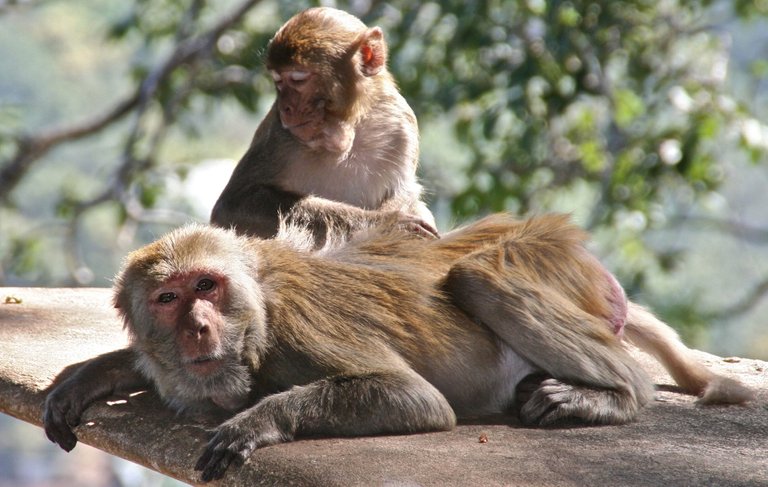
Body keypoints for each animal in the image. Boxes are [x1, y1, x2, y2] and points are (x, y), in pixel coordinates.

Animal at [40, 215, 752, 482]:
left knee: (477, 276)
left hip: (552, 269)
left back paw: (612, 395)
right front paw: (93, 375)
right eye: (168, 299)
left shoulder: (299, 326)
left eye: (207, 286)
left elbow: (417, 398)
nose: (198, 328)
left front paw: (257, 422)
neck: (258, 325)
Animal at [210, 9, 438, 248]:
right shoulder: (278, 136)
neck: (347, 132)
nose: (285, 107)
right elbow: (233, 204)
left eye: (298, 79)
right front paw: (390, 223)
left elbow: (403, 194)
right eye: (278, 81)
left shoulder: (401, 123)